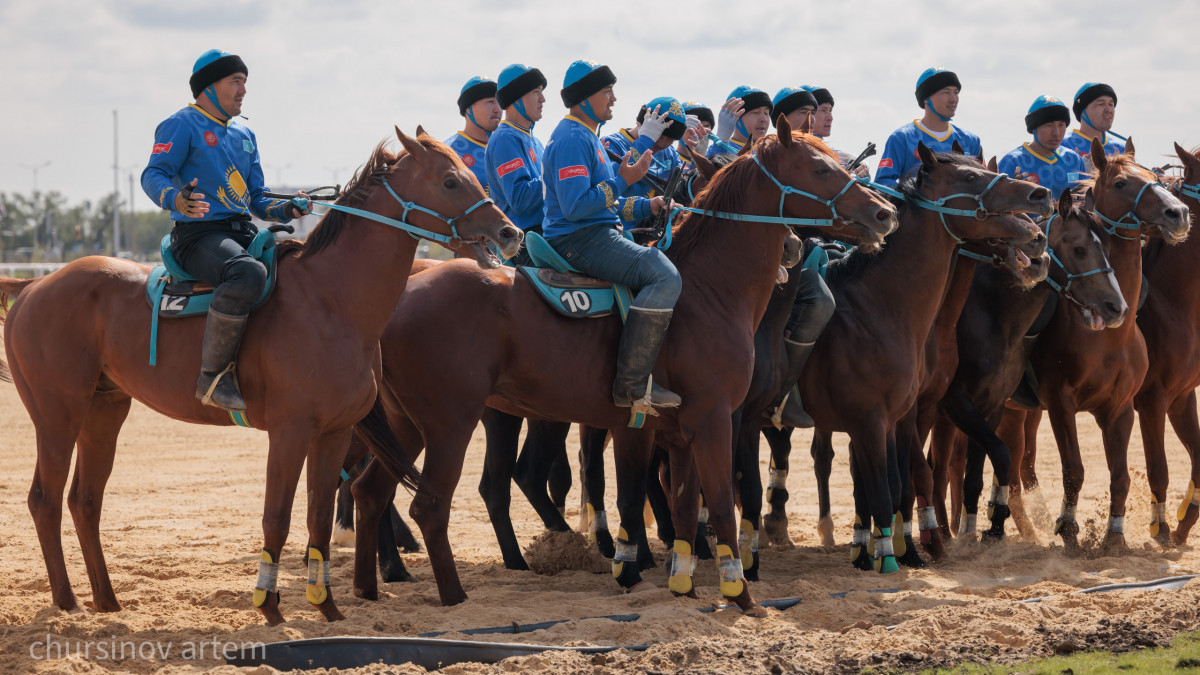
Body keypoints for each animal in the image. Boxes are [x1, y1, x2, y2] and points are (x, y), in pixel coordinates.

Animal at [1, 128, 525, 624]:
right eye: (451, 179)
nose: (509, 232)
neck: (330, 300)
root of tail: (34, 285)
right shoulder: (290, 432)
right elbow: (277, 517)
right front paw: (270, 608)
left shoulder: (334, 433)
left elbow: (318, 518)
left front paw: (327, 609)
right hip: (57, 415)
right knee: (45, 500)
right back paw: (67, 601)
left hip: (103, 412)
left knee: (85, 502)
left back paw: (107, 602)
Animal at [350, 117, 902, 614]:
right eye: (820, 168)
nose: (884, 213)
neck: (709, 288)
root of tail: (403, 292)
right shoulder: (716, 420)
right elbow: (721, 504)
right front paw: (741, 594)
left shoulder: (676, 432)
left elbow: (683, 506)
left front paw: (683, 586)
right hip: (451, 424)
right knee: (431, 504)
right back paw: (453, 596)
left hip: (408, 426)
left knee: (369, 491)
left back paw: (366, 590)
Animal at [931, 192, 1128, 538]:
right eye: (1079, 249)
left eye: (1105, 246)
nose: (1116, 307)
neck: (993, 315)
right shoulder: (957, 402)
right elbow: (1000, 455)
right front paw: (982, 528)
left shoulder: (991, 405)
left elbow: (980, 471)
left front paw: (982, 528)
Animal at [993, 136, 1190, 552]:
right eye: (1120, 183)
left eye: (1152, 176)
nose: (1178, 212)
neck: (1108, 337)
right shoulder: (1061, 404)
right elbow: (1075, 470)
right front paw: (1068, 531)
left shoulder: (1122, 408)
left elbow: (1120, 475)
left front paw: (1114, 536)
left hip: (1013, 412)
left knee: (1010, 467)